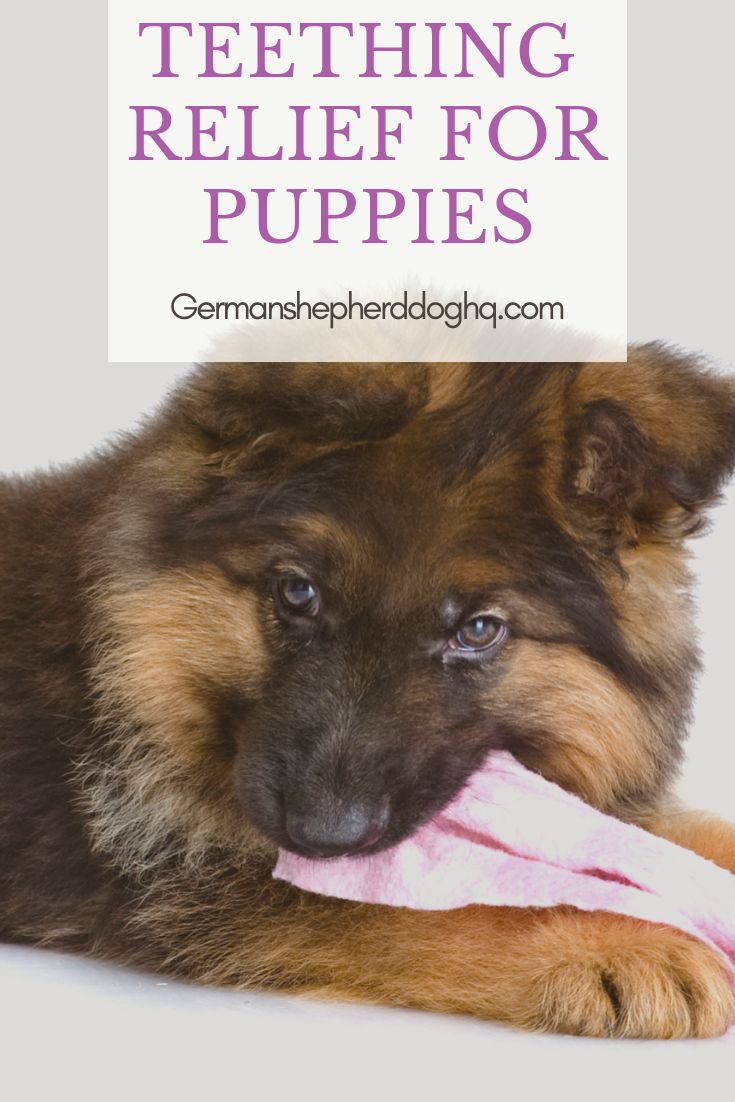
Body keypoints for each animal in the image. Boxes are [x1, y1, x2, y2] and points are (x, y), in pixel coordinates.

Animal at [1, 348, 735, 1035]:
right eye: (298, 592)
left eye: (477, 630)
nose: (324, 837)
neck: (113, 661)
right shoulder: (187, 876)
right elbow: (461, 909)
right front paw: (631, 943)